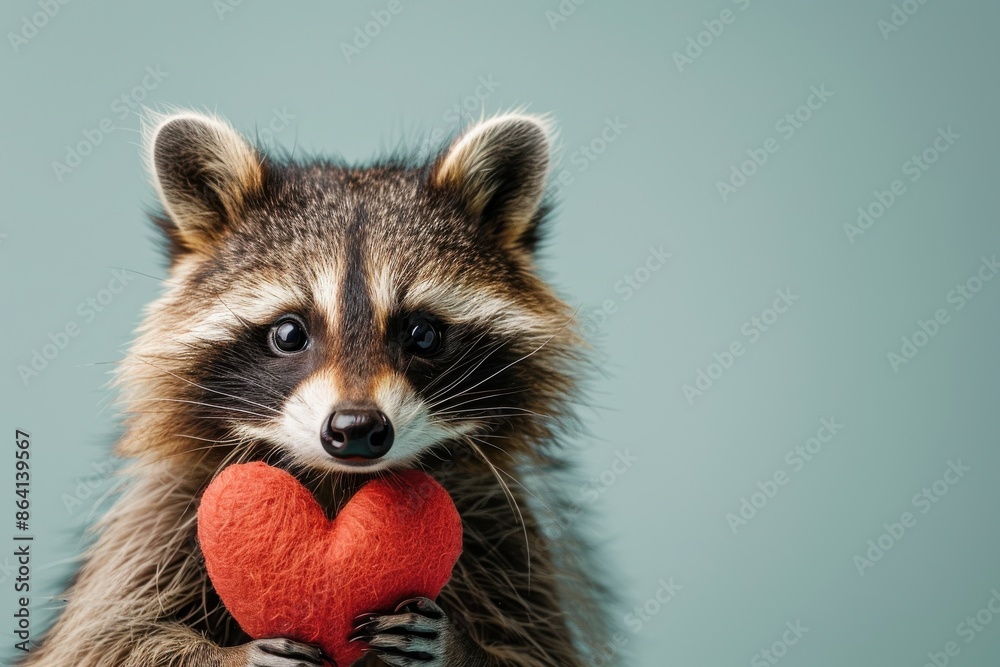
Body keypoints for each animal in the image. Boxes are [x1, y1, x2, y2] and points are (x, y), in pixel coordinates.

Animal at [20, 110, 613, 666]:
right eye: (289, 333)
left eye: (422, 333)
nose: (356, 428)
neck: (337, 482)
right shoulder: (164, 517)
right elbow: (106, 640)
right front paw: (234, 656)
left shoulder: (504, 529)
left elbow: (544, 652)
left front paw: (458, 646)